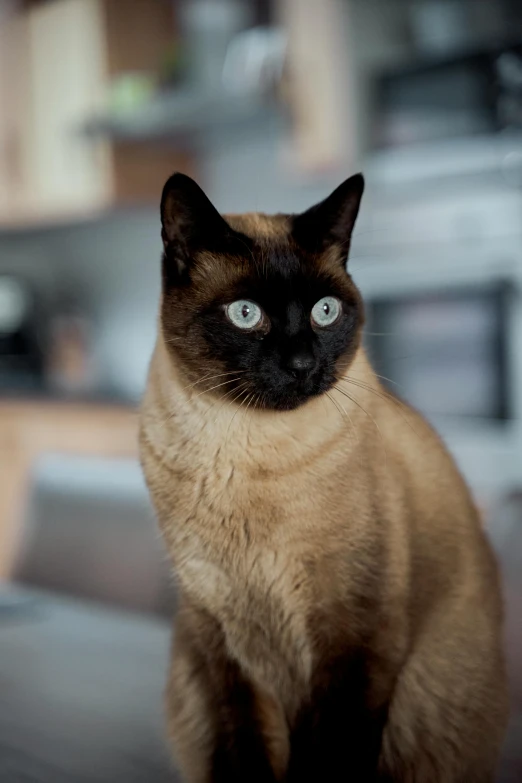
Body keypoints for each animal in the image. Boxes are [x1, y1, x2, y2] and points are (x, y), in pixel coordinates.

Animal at [140, 173, 506, 783]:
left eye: (325, 312)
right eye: (246, 314)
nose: (302, 365)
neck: (244, 453)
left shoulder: (353, 639)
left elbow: (327, 758)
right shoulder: (222, 644)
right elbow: (244, 754)